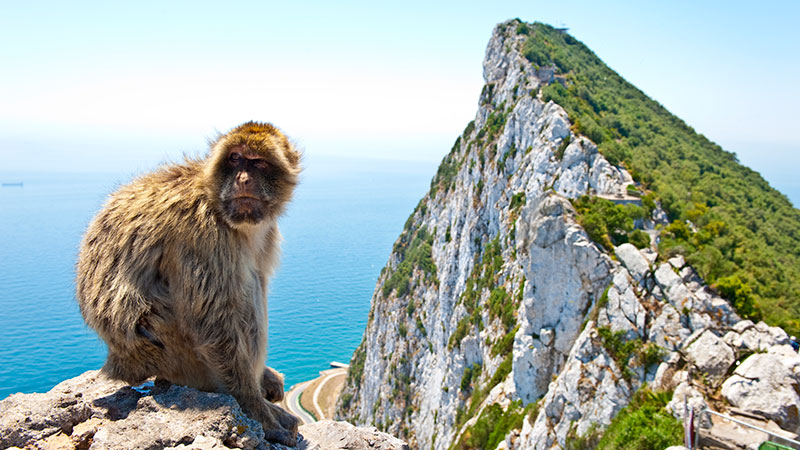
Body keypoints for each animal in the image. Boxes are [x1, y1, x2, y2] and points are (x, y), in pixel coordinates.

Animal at [76, 120, 302, 446]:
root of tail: (118, 362)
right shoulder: (202, 232)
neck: (216, 200)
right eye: (235, 159)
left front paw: (264, 380)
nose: (244, 179)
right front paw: (257, 409)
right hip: (171, 352)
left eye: (258, 162)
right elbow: (213, 325)